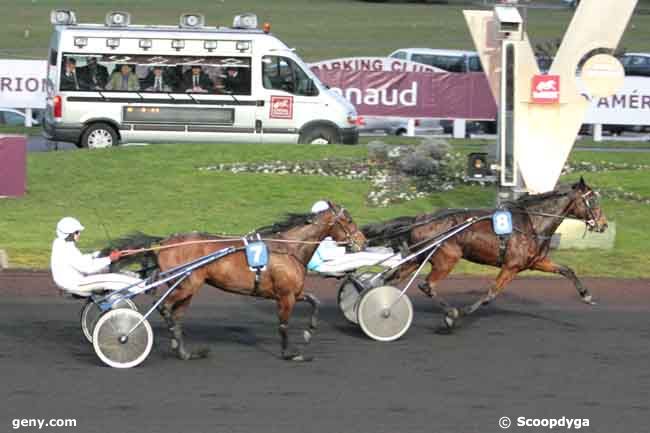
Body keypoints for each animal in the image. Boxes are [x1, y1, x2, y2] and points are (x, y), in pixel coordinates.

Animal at [112, 202, 364, 362]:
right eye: (349, 220)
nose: (362, 241)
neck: (289, 249)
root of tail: (164, 242)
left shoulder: (292, 292)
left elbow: (315, 301)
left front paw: (309, 332)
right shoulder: (285, 296)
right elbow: (283, 325)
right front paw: (290, 353)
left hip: (188, 288)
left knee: (177, 316)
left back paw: (185, 352)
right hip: (186, 284)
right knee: (165, 309)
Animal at [362, 177, 604, 330]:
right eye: (592, 200)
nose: (603, 224)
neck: (532, 222)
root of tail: (420, 218)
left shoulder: (535, 261)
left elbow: (567, 270)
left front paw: (586, 295)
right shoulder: (511, 266)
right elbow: (490, 294)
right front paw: (461, 312)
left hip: (418, 257)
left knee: (390, 279)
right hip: (447, 257)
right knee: (426, 285)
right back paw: (449, 313)